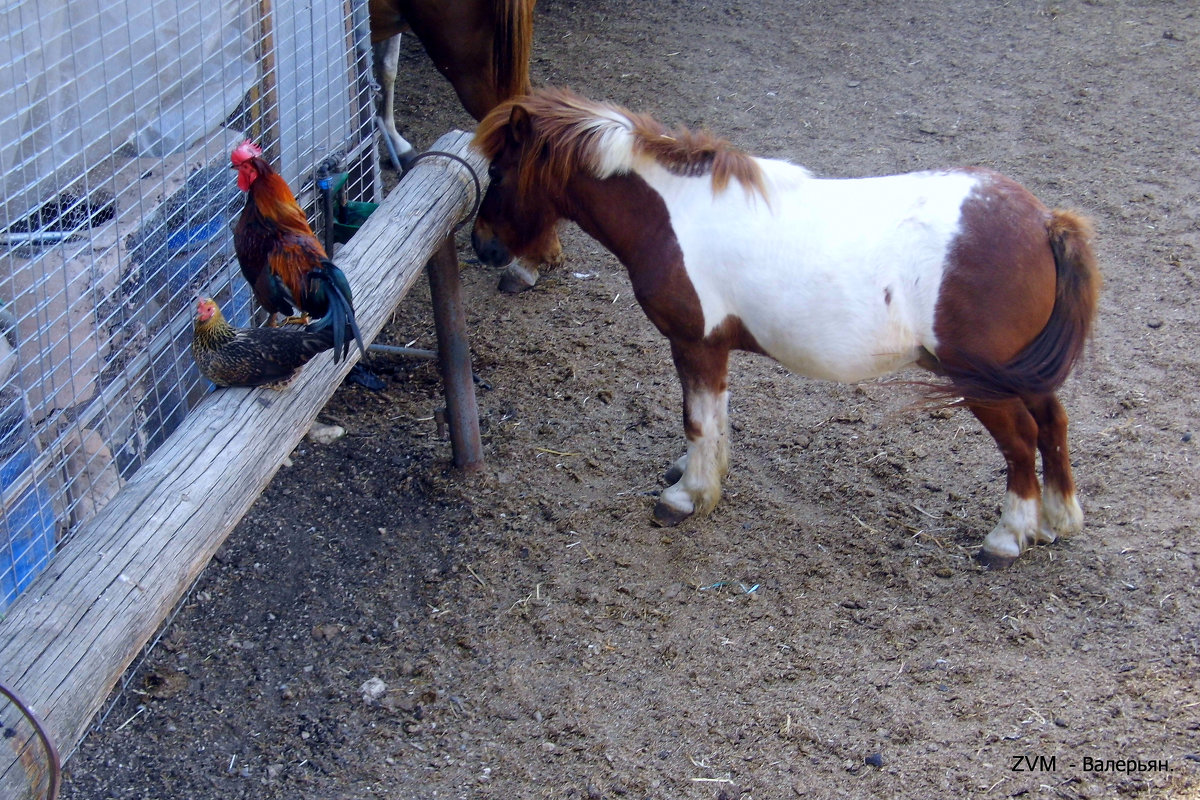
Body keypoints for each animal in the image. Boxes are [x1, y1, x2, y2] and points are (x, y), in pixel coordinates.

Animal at [468, 89, 1099, 568]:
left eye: (497, 170)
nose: (482, 248)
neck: (672, 212)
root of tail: (1044, 221)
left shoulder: (694, 342)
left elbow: (697, 419)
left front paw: (686, 497)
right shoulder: (713, 347)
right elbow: (715, 415)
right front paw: (702, 475)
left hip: (984, 382)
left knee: (1021, 441)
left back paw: (1007, 538)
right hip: (1019, 373)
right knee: (1052, 424)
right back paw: (1054, 521)